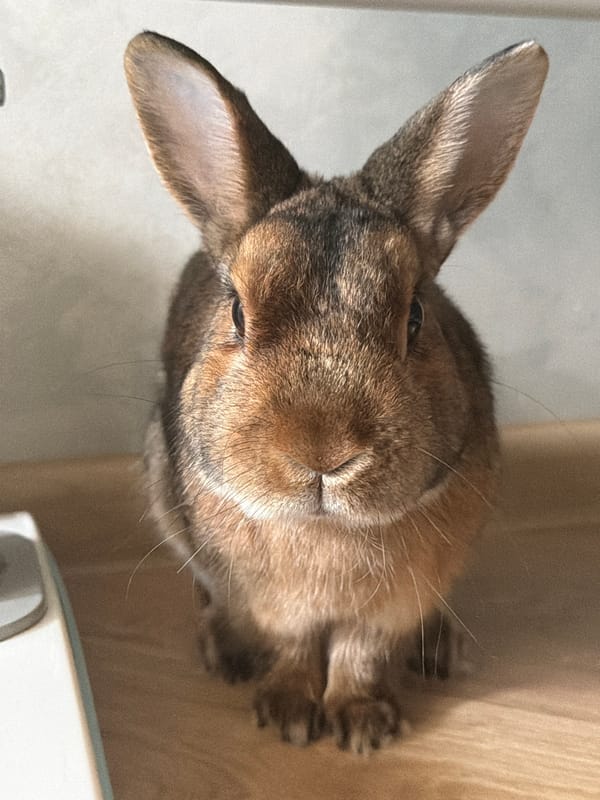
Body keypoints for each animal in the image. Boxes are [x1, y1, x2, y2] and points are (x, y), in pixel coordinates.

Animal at [125, 33, 548, 753]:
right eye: (236, 312)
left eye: (416, 315)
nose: (321, 452)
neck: (327, 529)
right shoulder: (276, 605)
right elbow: (296, 646)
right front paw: (291, 716)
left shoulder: (391, 605)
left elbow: (360, 652)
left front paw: (363, 726)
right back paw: (226, 654)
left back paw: (440, 651)